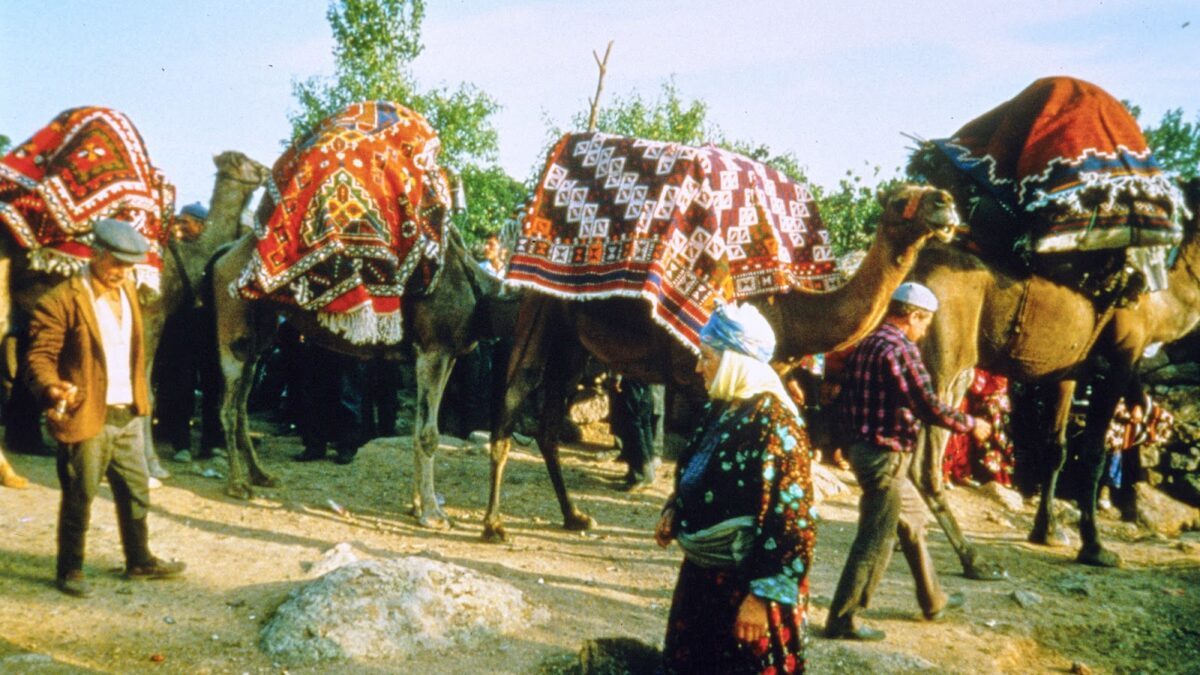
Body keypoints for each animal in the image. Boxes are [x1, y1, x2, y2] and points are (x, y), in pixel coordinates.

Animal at [211, 102, 501, 528]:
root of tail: (223, 257)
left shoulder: (442, 354)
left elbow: (419, 428)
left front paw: (417, 505)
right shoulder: (434, 350)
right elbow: (429, 433)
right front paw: (432, 514)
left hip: (259, 336)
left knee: (244, 400)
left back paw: (261, 475)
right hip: (233, 329)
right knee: (228, 405)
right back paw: (237, 484)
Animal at [482, 131, 960, 540]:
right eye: (900, 199)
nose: (946, 201)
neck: (790, 312)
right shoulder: (699, 376)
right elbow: (695, 459)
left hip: (575, 340)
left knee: (550, 415)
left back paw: (573, 515)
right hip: (541, 305)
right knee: (517, 388)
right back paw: (494, 523)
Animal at [907, 77, 1190, 571]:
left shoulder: (1068, 367)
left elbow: (1054, 448)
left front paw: (1049, 532)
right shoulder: (1122, 354)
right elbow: (1092, 453)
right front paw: (1096, 548)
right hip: (946, 360)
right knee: (925, 461)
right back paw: (971, 560)